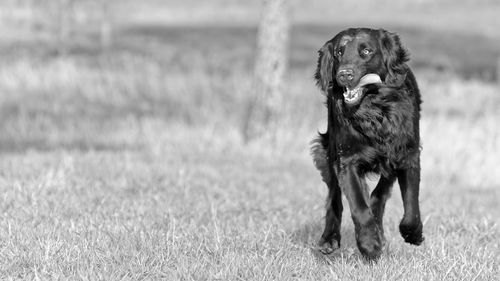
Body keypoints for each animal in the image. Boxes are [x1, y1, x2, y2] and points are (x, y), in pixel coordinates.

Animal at [310, 27, 424, 260]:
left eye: (366, 51)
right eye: (339, 52)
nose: (344, 74)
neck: (373, 110)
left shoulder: (407, 155)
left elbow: (410, 203)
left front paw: (413, 233)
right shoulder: (346, 161)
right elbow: (358, 206)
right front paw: (369, 244)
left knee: (380, 194)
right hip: (329, 150)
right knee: (334, 198)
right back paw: (330, 238)